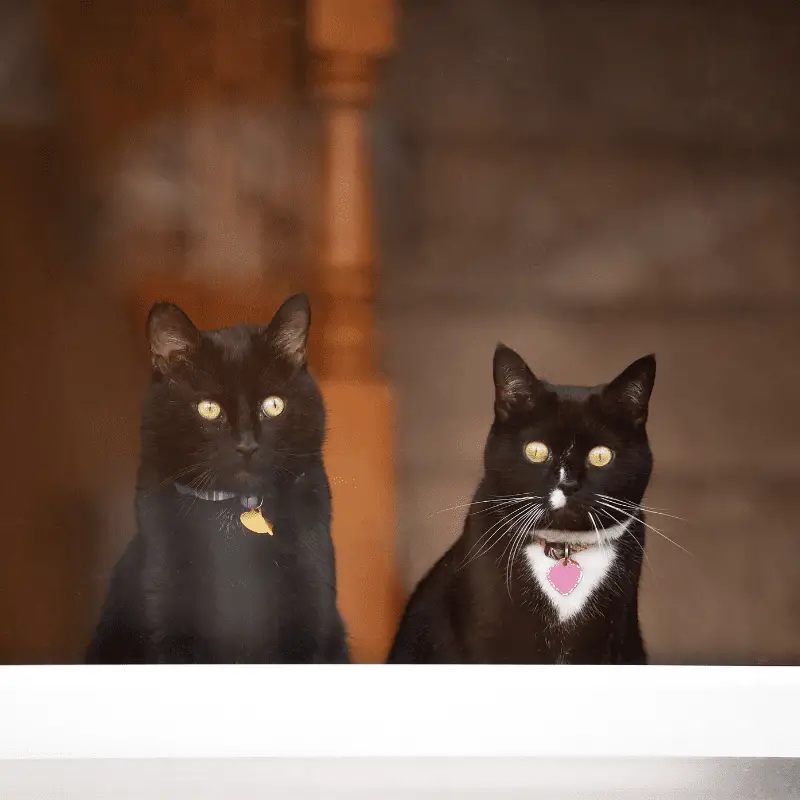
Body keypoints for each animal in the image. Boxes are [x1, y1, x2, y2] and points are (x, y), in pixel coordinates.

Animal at [86, 294, 348, 664]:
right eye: (208, 408)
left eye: (274, 405)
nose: (247, 445)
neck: (233, 516)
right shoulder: (167, 605)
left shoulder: (312, 598)